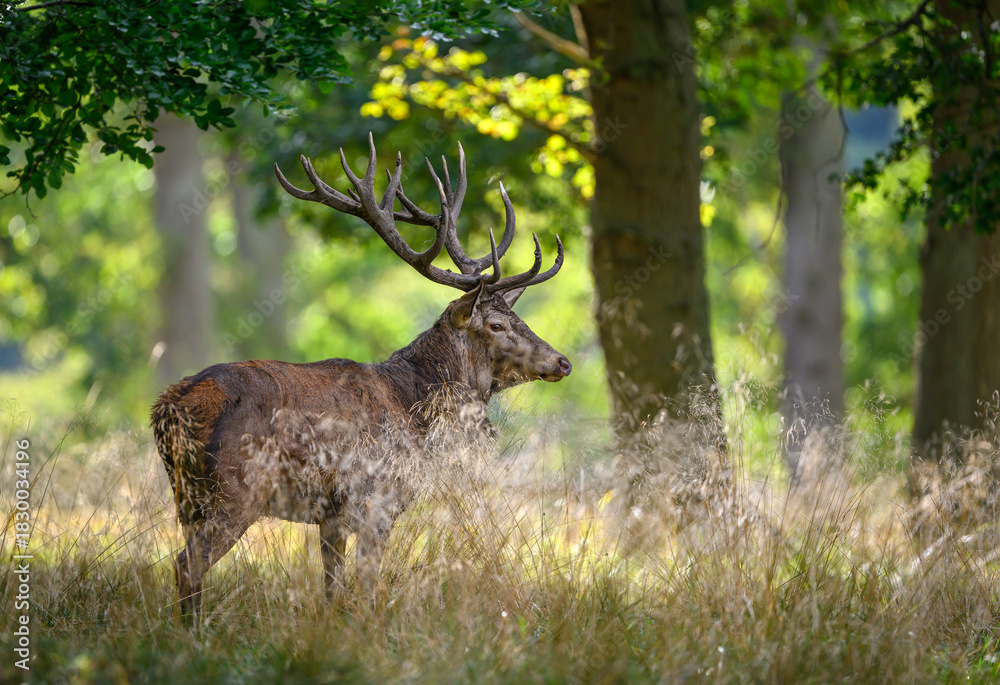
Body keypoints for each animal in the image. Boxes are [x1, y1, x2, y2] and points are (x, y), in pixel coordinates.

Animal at [151, 134, 571, 617]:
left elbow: (332, 588)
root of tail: (169, 408)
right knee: (187, 565)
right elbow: (368, 586)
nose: (562, 361)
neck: (414, 412)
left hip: (186, 497)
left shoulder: (331, 516)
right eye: (497, 325)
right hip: (235, 490)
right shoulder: (377, 501)